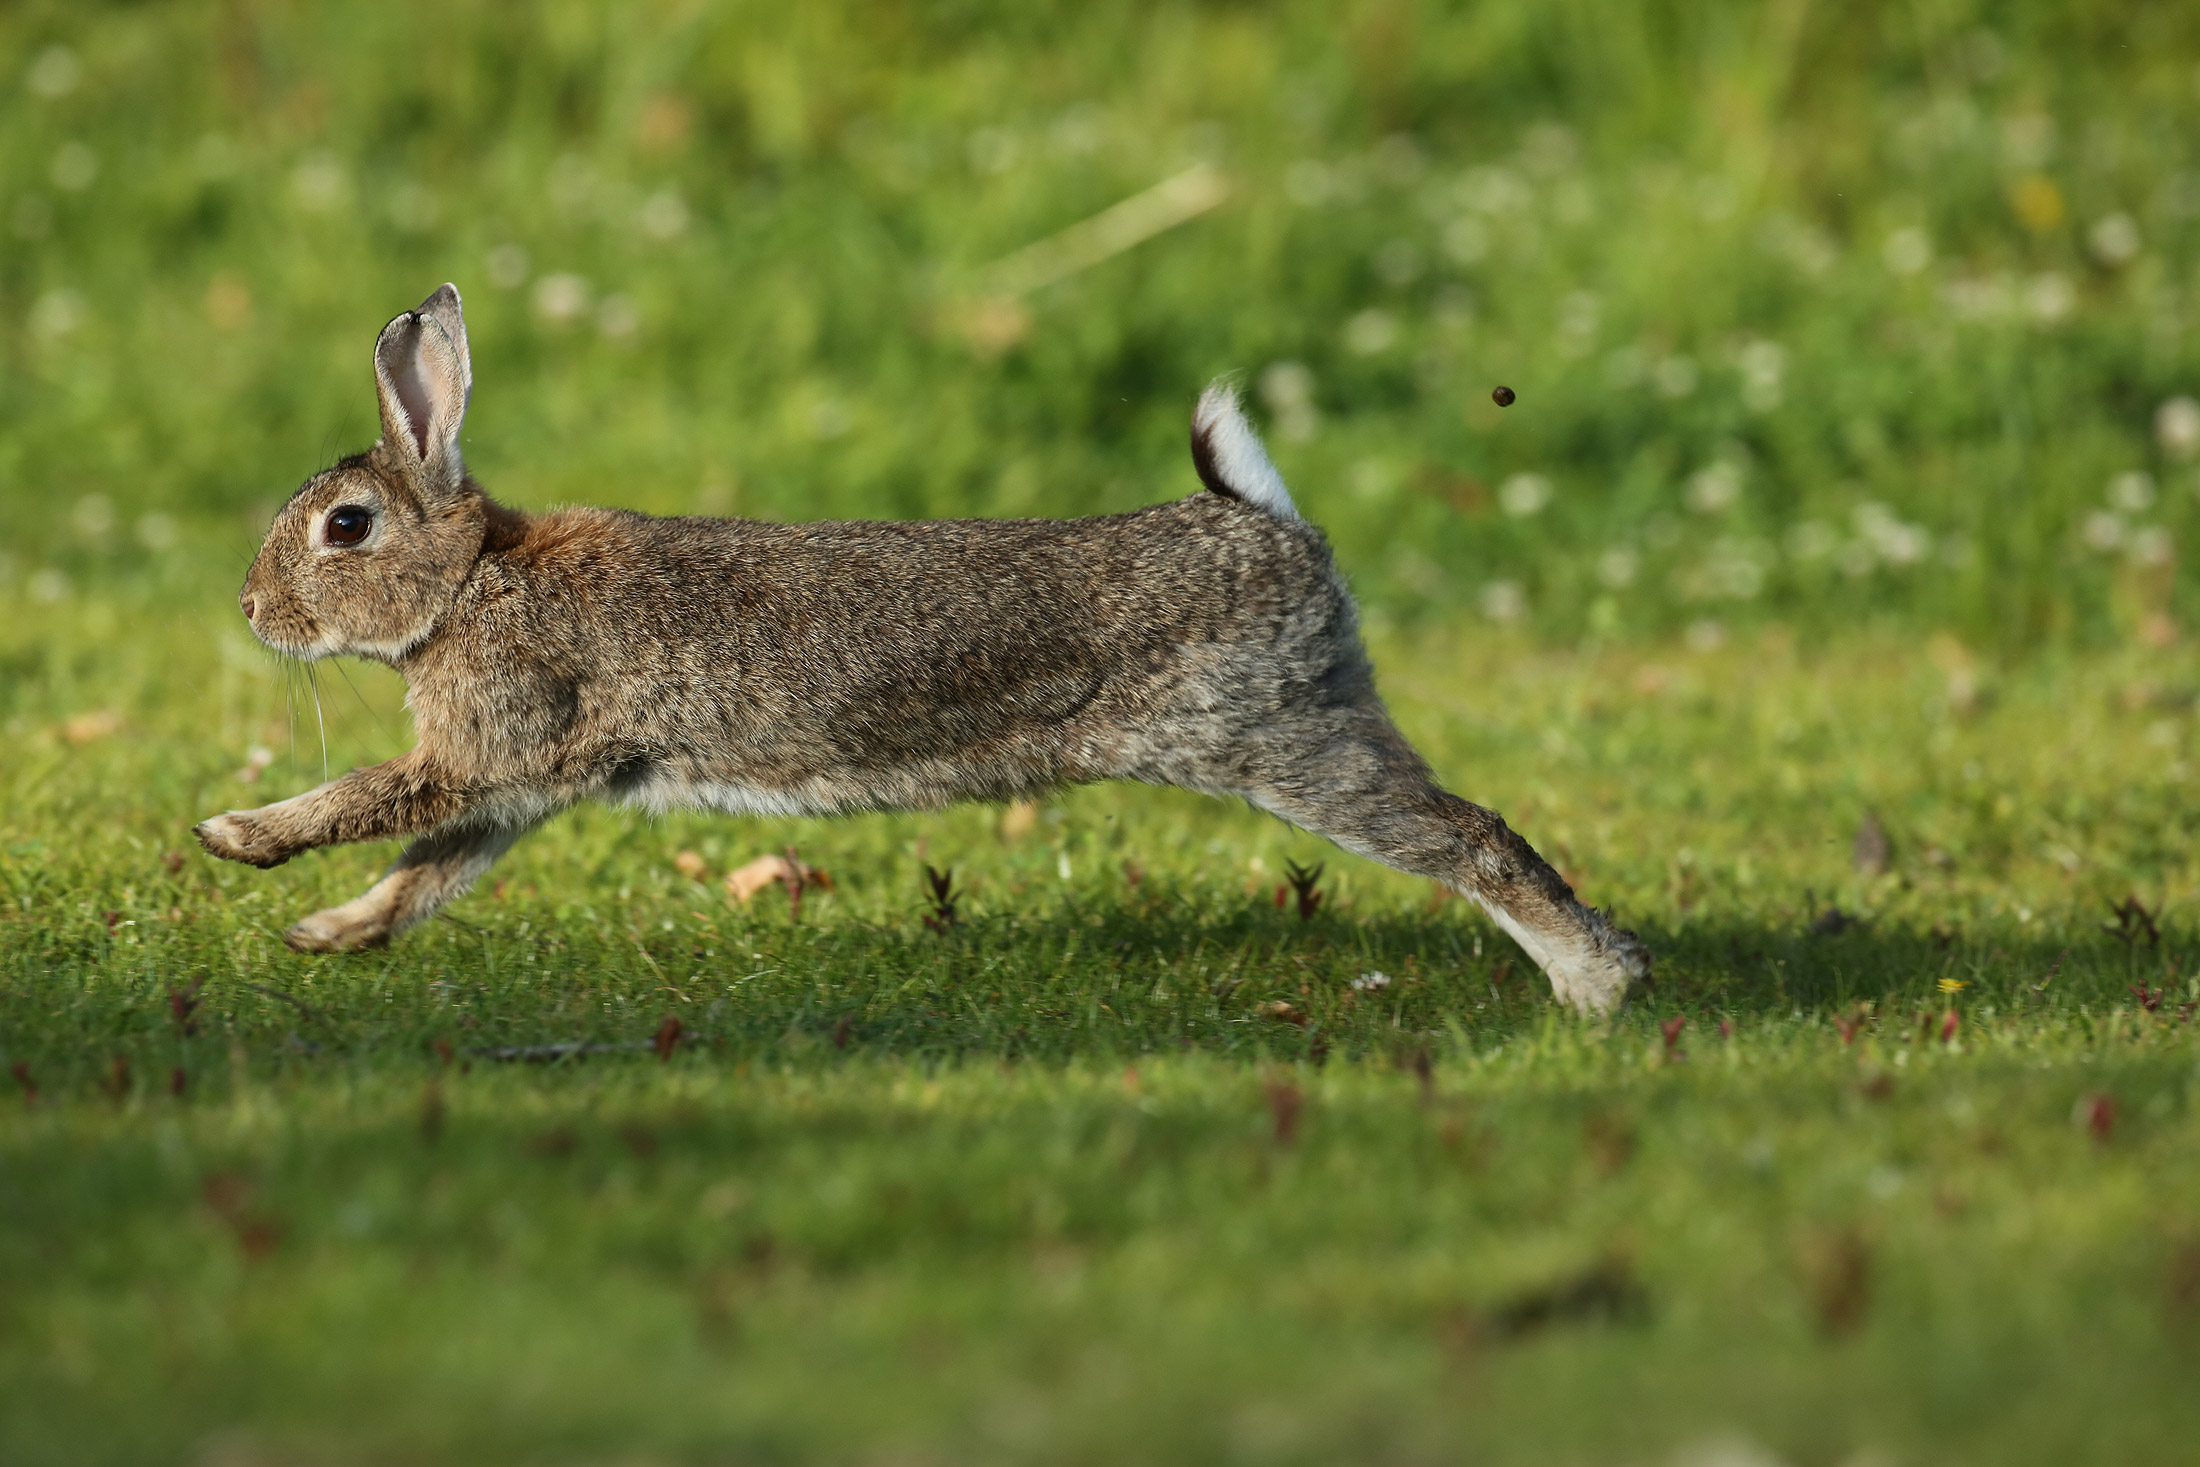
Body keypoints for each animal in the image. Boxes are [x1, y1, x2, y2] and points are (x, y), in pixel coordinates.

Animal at [194, 284, 1649, 1014]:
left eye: (345, 525)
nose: (253, 613)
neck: (470, 580)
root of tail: (1271, 527)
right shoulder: (517, 782)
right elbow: (424, 876)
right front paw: (324, 936)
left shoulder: (488, 743)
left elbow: (368, 801)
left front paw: (233, 836)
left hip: (1281, 735)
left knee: (1471, 839)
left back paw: (1600, 988)